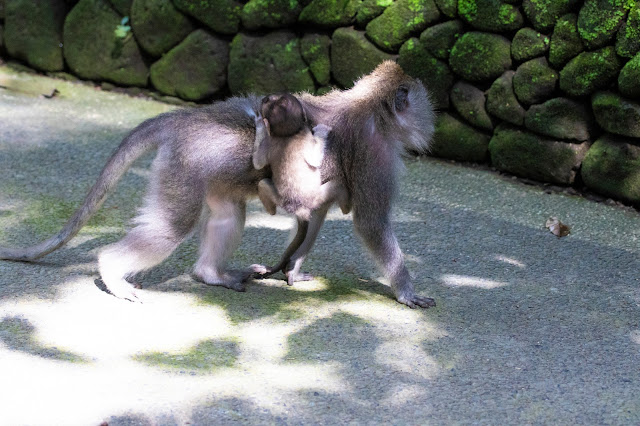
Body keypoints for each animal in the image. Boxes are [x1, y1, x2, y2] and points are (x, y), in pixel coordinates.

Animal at [0, 60, 436, 308]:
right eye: (423, 99)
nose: (433, 119)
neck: (374, 111)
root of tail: (188, 117)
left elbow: (316, 215)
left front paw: (292, 271)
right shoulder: (375, 155)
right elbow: (371, 224)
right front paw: (405, 291)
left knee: (228, 214)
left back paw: (210, 273)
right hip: (186, 165)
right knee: (171, 227)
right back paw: (112, 272)